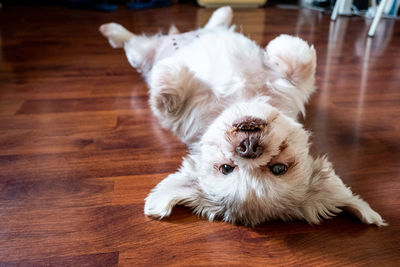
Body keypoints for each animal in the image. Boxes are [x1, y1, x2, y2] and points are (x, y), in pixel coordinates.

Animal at [99, 6, 384, 227]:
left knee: (139, 40)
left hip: (142, 53)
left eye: (278, 168)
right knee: (139, 38)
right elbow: (299, 58)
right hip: (145, 52)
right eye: (226, 168)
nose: (248, 147)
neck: (241, 98)